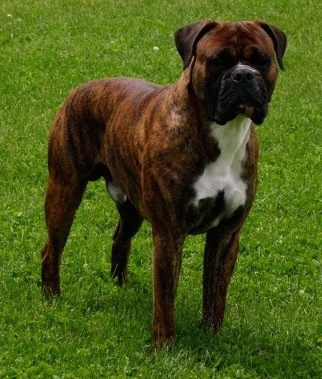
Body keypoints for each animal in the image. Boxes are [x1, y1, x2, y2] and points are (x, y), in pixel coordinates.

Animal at [42, 18, 286, 348]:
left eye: (262, 60)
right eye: (218, 61)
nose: (244, 75)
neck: (223, 133)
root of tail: (81, 88)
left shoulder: (226, 235)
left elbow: (215, 292)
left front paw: (211, 335)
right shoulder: (169, 235)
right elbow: (165, 296)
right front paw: (165, 346)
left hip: (131, 206)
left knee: (120, 238)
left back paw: (121, 285)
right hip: (65, 190)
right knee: (52, 248)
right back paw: (51, 297)